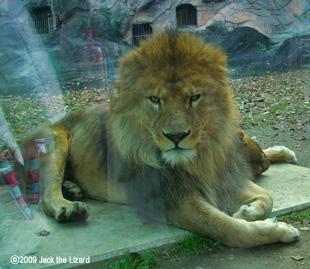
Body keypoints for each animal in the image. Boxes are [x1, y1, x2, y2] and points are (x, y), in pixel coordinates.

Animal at [22, 30, 300, 246]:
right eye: (155, 100)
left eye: (194, 98)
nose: (176, 136)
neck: (200, 158)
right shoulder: (172, 201)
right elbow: (229, 229)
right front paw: (279, 230)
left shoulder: (224, 176)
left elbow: (267, 196)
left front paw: (248, 210)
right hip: (55, 138)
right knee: (45, 195)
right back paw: (69, 207)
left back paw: (73, 188)